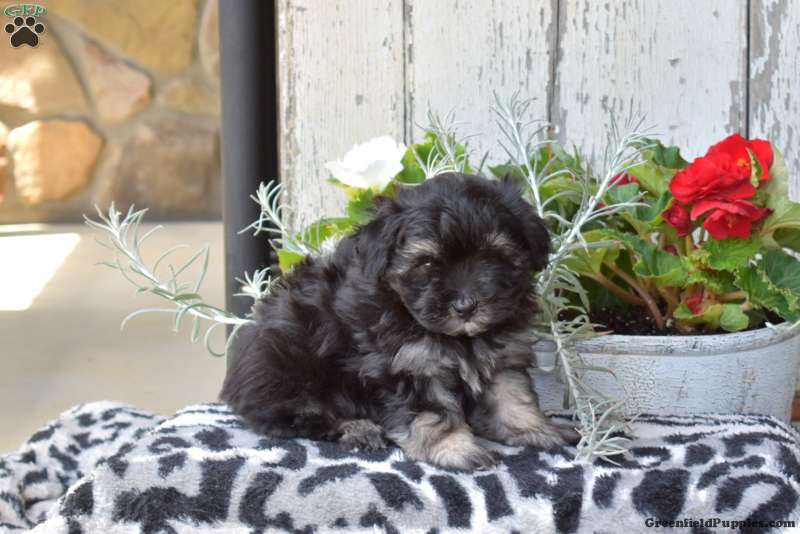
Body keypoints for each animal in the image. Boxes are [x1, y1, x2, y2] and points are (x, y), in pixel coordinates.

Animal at [222, 174, 580, 472]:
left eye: (493, 256)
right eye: (427, 263)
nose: (466, 306)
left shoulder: (503, 355)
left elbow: (513, 396)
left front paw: (535, 429)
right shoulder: (411, 365)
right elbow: (434, 412)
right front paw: (456, 450)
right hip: (286, 369)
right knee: (297, 416)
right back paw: (357, 428)